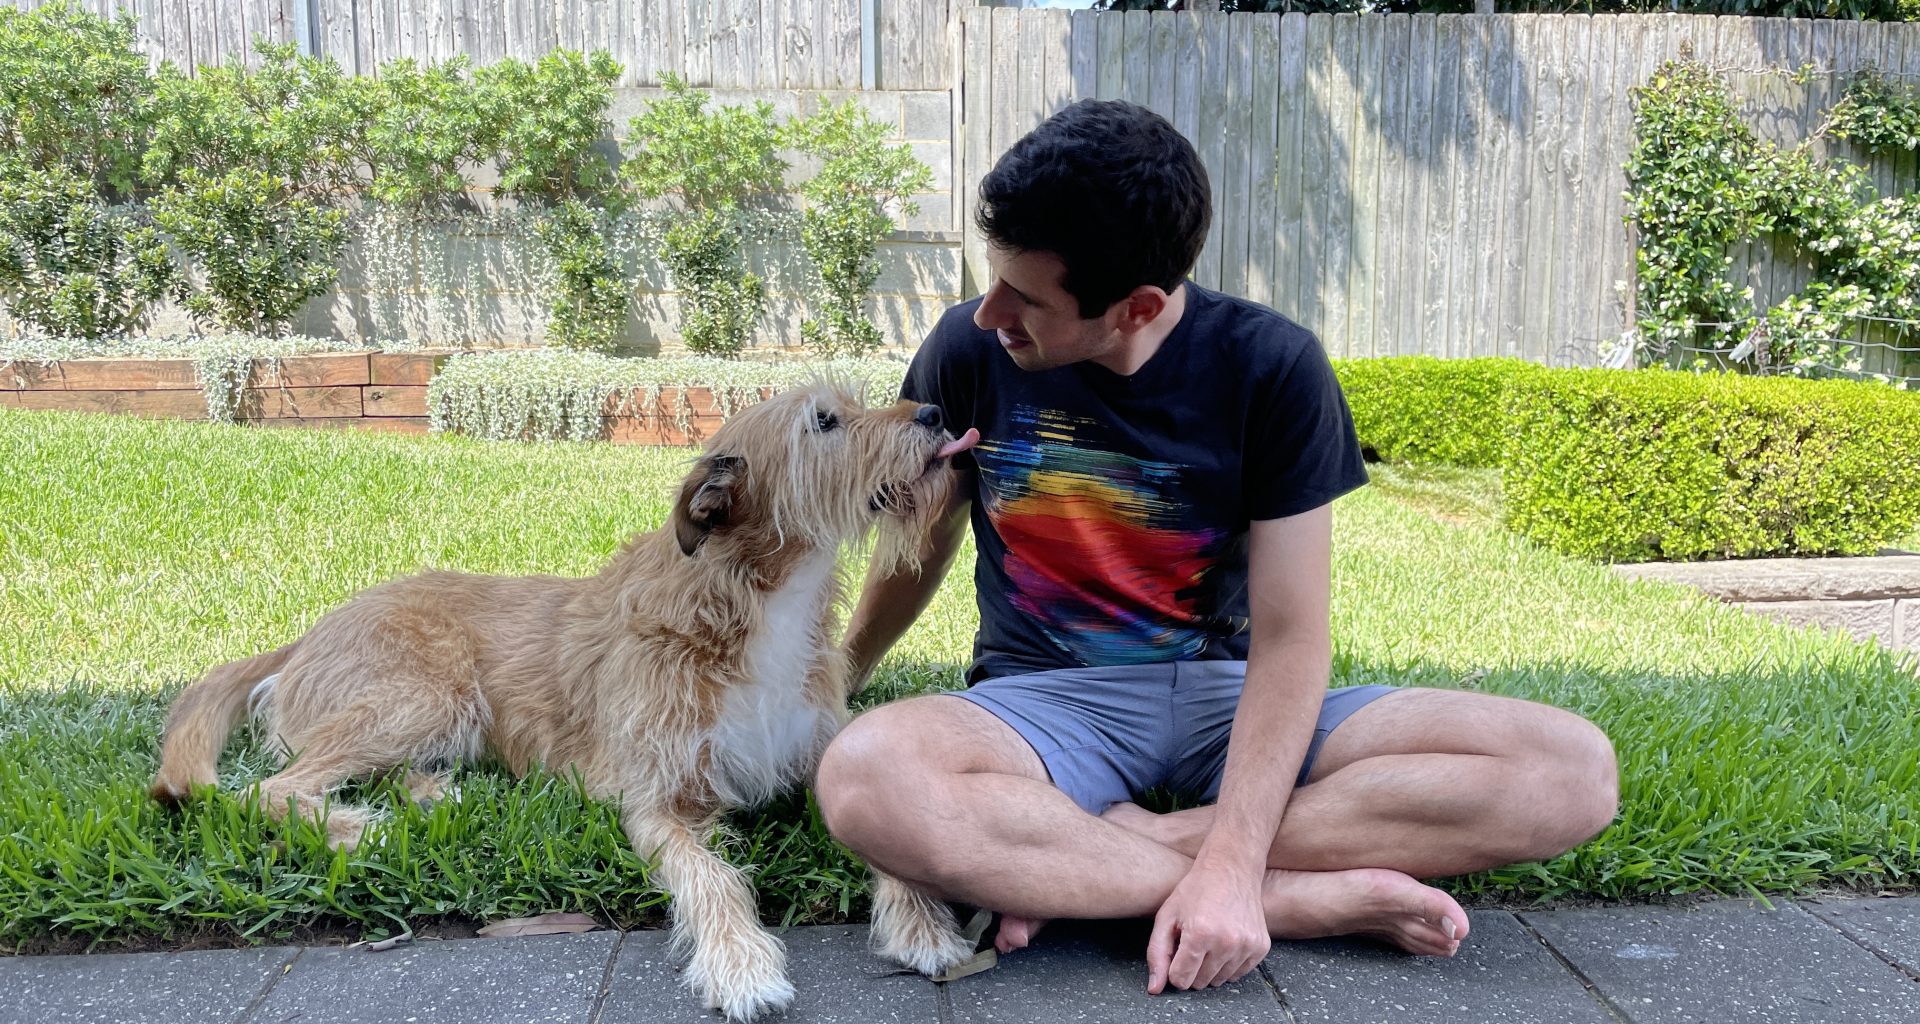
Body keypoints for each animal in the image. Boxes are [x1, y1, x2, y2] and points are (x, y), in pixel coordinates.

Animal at [149, 380, 983, 1014]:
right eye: (824, 420)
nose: (936, 412)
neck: (760, 603)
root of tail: (303, 636)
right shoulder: (655, 797)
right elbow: (713, 877)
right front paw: (742, 965)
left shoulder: (824, 754)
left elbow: (890, 835)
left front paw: (923, 928)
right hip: (427, 693)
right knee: (268, 788)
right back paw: (370, 830)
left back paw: (434, 796)